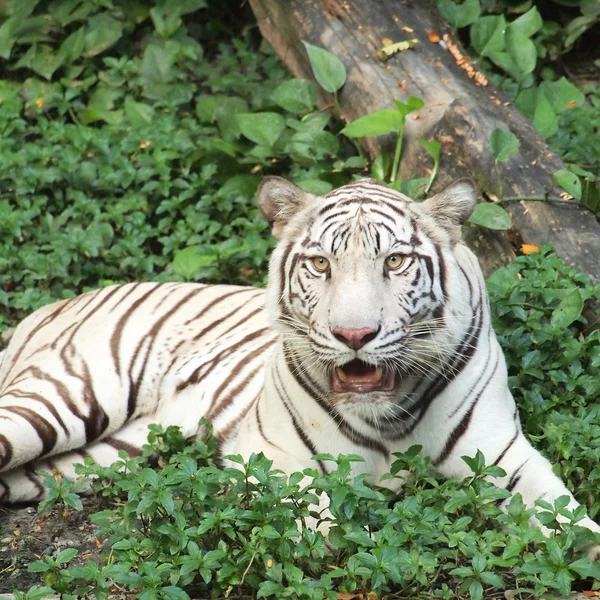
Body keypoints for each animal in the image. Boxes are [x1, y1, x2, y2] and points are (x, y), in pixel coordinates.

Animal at [0, 177, 596, 552]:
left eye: (395, 261)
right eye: (320, 264)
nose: (354, 335)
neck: (391, 415)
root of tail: (47, 308)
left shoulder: (502, 454)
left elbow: (564, 513)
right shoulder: (274, 457)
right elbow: (319, 517)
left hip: (87, 458)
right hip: (61, 400)